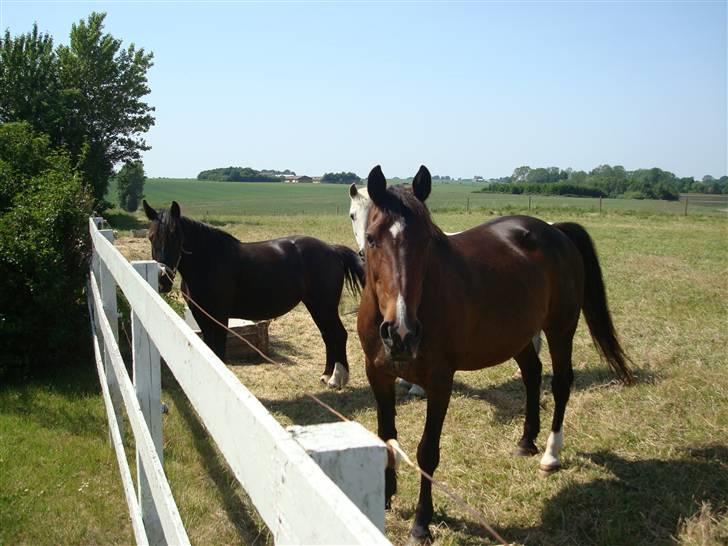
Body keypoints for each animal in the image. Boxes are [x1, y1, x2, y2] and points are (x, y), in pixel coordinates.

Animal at [144, 200, 362, 386]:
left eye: (175, 236)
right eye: (151, 237)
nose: (162, 280)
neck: (209, 260)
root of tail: (332, 249)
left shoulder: (220, 317)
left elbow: (219, 352)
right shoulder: (201, 315)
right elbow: (210, 350)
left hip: (324, 306)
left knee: (338, 334)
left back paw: (336, 379)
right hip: (316, 306)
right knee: (328, 335)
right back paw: (326, 375)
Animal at [358, 165, 632, 540]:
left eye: (426, 240)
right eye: (371, 238)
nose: (401, 333)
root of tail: (555, 231)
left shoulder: (440, 382)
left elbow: (427, 451)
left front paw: (421, 522)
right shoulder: (378, 375)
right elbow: (386, 437)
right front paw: (384, 497)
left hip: (560, 330)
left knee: (561, 383)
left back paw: (550, 454)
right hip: (518, 336)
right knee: (532, 374)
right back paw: (526, 441)